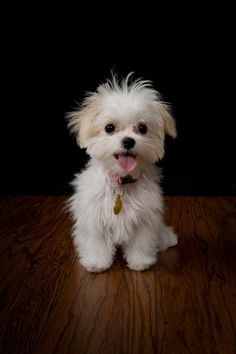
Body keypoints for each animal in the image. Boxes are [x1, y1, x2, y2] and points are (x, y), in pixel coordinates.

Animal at [66, 71, 177, 272]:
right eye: (109, 128)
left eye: (142, 128)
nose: (128, 141)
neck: (121, 182)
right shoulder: (94, 216)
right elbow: (96, 242)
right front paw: (96, 262)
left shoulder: (145, 218)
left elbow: (141, 242)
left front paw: (140, 261)